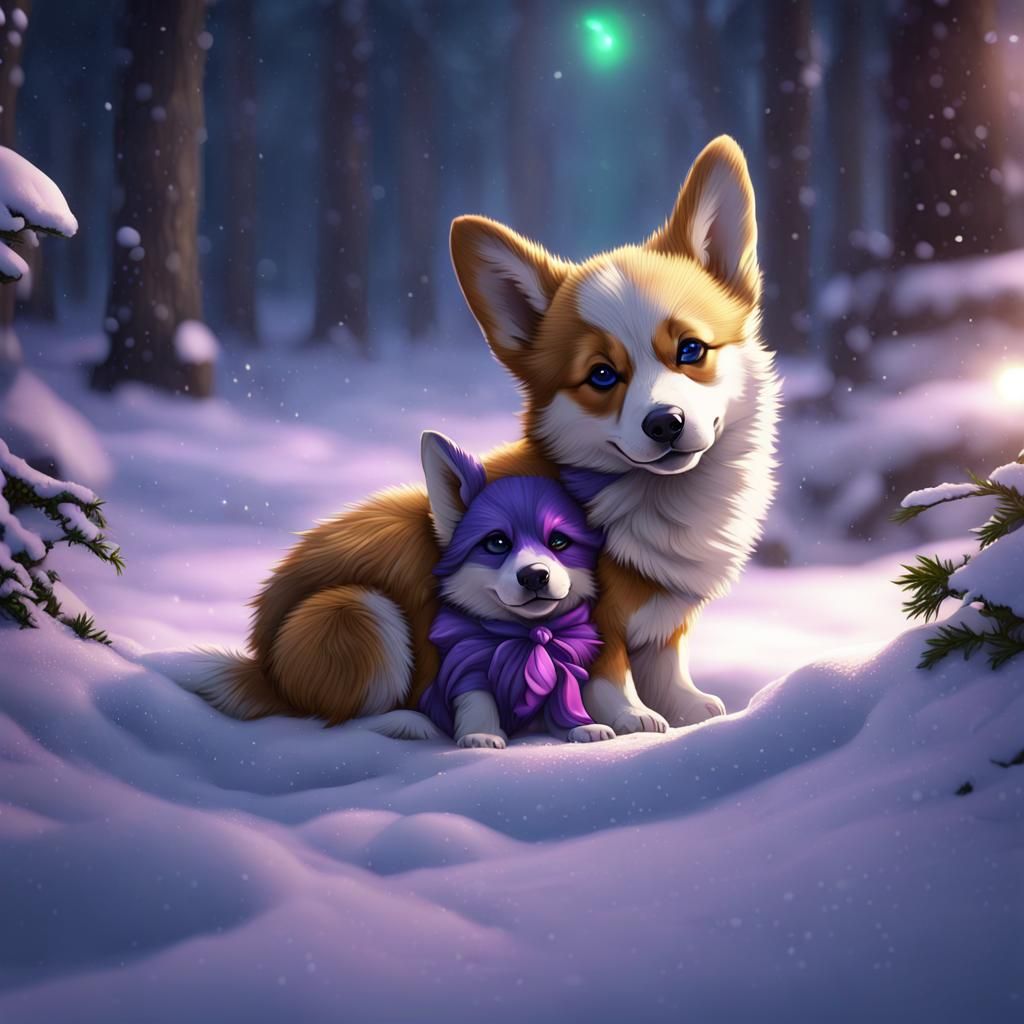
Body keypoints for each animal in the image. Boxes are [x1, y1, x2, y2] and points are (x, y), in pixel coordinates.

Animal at [188, 135, 779, 736]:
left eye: (691, 350)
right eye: (601, 376)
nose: (664, 423)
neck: (658, 499)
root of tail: (263, 666)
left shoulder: (663, 621)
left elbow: (667, 661)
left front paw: (690, 710)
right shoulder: (594, 620)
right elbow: (609, 675)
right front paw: (634, 719)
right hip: (361, 612)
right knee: (330, 716)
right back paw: (412, 723)